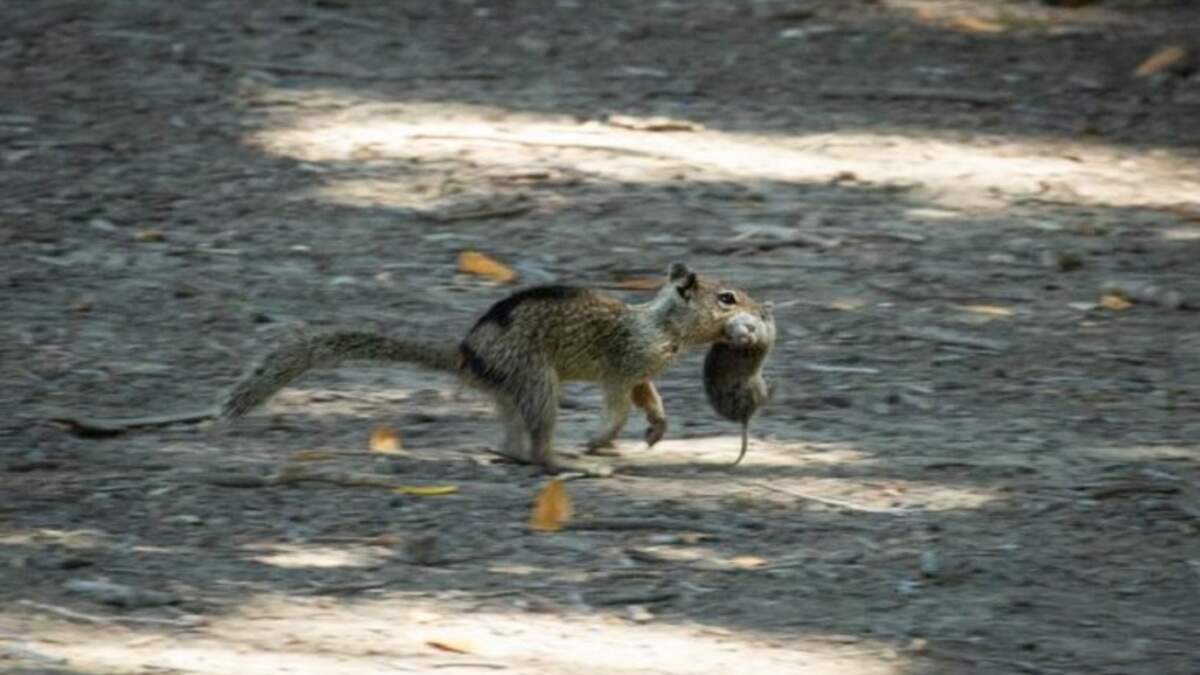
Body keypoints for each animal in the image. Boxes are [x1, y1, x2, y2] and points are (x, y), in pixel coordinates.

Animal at [217, 262, 765, 475]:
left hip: (511, 392)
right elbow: (618, 405)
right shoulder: (622, 364)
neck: (662, 324)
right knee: (539, 445)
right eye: (726, 298)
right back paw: (568, 461)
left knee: (513, 440)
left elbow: (648, 396)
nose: (763, 310)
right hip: (537, 382)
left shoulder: (642, 372)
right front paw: (602, 438)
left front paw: (657, 426)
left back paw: (508, 454)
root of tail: (465, 354)